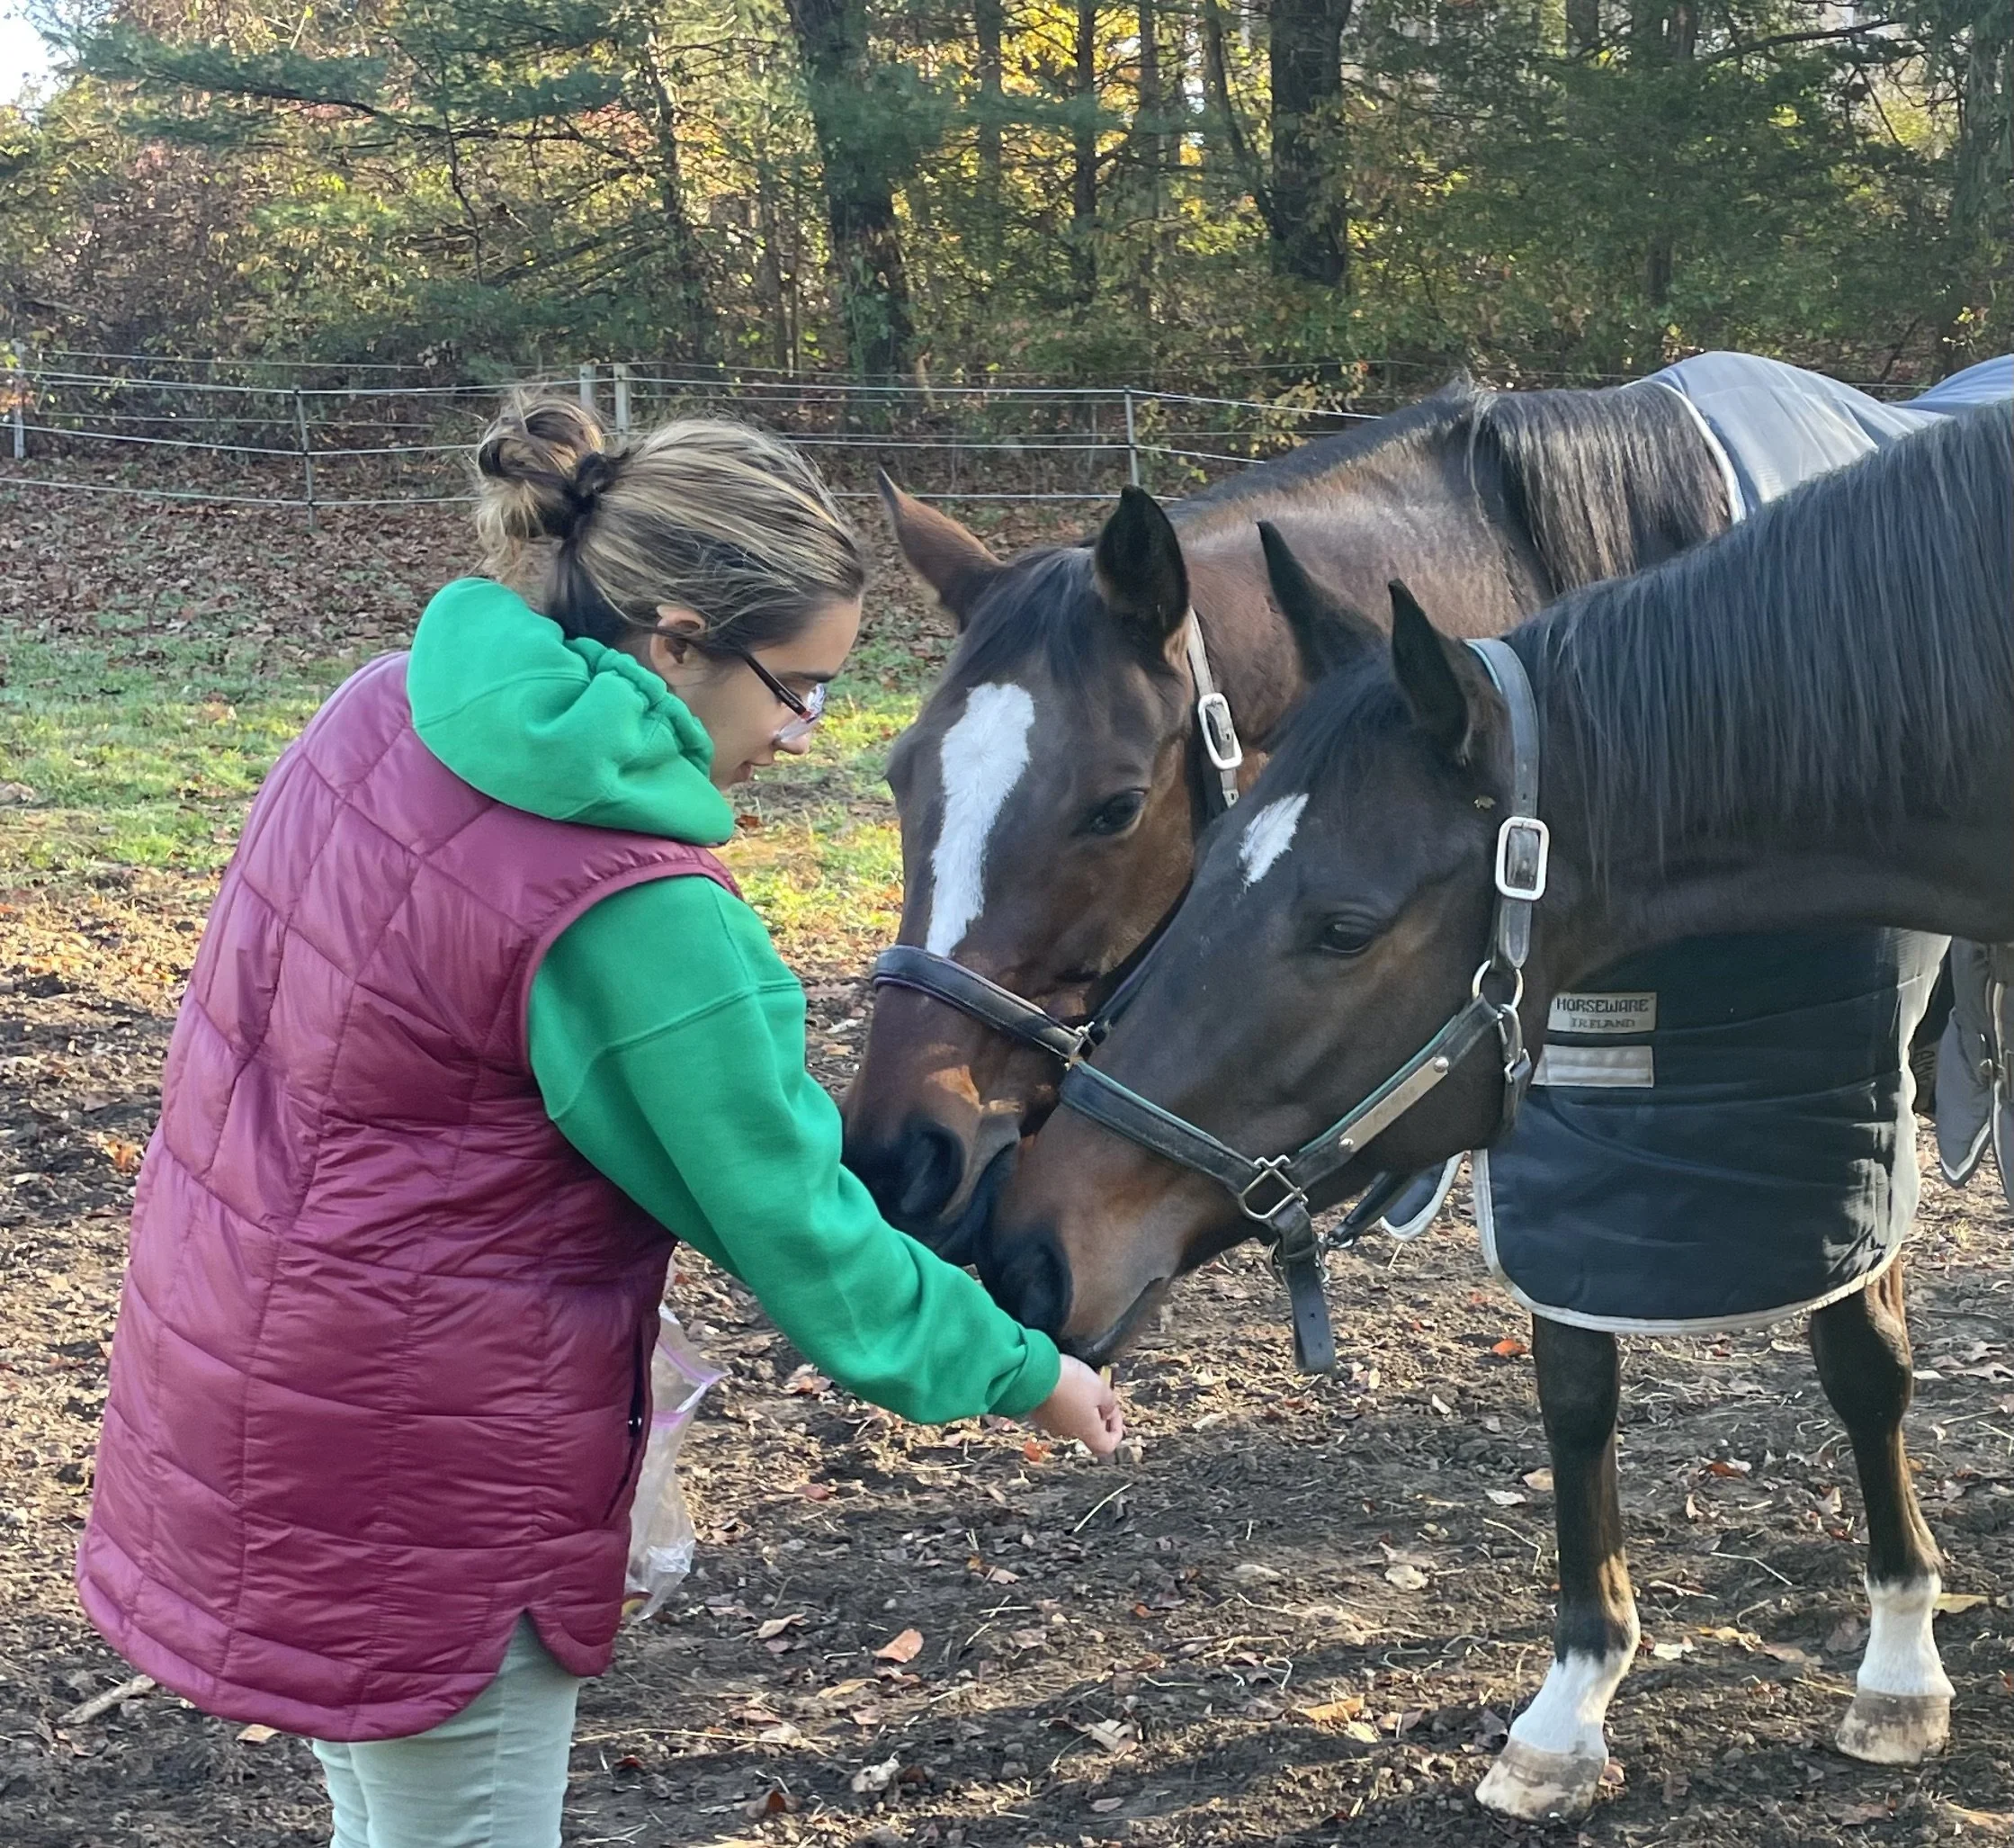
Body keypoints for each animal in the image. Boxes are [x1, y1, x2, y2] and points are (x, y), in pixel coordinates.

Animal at [979, 402, 2014, 1818]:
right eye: (1205, 850)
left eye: (1342, 925)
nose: (1027, 1246)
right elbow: (1574, 1388)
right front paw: (1567, 1705)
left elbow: (1865, 1366)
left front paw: (1900, 1665)